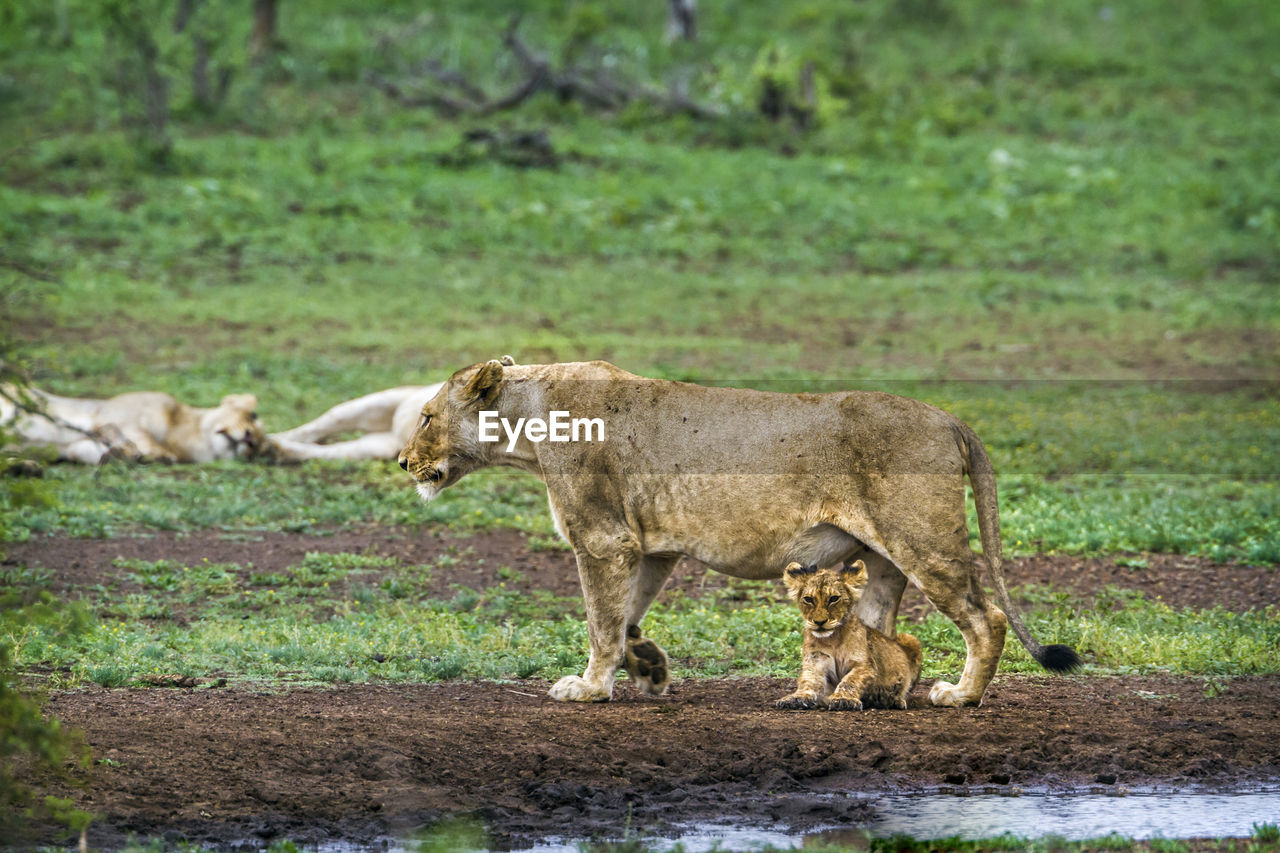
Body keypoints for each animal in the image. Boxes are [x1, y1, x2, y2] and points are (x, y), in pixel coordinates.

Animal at [0, 384, 264, 466]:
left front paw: (121, 455)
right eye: (252, 415)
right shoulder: (113, 415)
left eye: (260, 449)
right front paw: (152, 453)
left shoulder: (82, 446)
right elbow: (140, 437)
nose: (251, 439)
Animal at [768, 558, 921, 712]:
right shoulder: (815, 664)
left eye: (834, 598)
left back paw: (894, 700)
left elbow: (849, 681)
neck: (832, 640)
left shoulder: (865, 666)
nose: (819, 622)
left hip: (911, 639)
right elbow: (808, 682)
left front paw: (843, 699)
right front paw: (796, 698)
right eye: (808, 599)